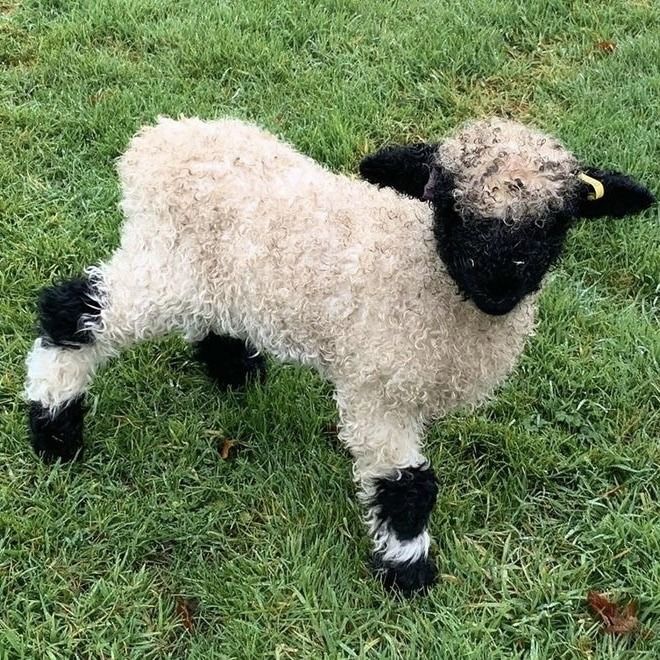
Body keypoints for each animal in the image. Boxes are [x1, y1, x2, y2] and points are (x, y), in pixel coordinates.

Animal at [24, 116, 656, 596]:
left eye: (559, 219)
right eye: (446, 207)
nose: (499, 286)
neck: (427, 277)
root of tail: (157, 143)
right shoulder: (378, 387)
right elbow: (408, 486)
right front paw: (408, 573)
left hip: (217, 276)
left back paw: (235, 372)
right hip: (165, 269)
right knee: (71, 312)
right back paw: (54, 431)